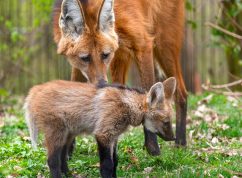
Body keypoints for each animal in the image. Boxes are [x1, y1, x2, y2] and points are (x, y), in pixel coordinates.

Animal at [24, 78, 176, 178]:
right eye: (166, 122)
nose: (173, 138)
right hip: (57, 133)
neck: (128, 105)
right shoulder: (104, 134)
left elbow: (115, 162)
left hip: (68, 134)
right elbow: (107, 165)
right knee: (52, 161)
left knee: (62, 158)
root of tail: (35, 89)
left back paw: (69, 175)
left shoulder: (114, 137)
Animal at [52, 0, 186, 154]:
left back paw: (181, 143)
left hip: (164, 44)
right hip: (122, 55)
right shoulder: (82, 64)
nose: (102, 84)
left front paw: (153, 150)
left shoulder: (143, 43)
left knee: (182, 93)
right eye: (85, 58)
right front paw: (67, 151)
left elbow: (149, 95)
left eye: (105, 55)